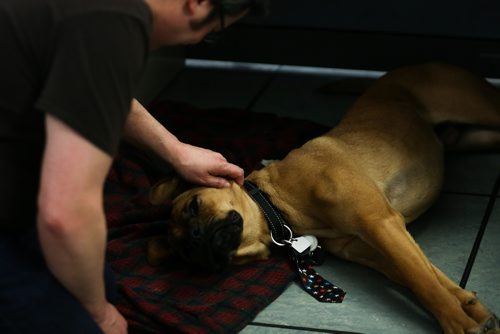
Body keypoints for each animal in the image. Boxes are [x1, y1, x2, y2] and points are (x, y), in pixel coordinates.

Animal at [148, 63, 500, 334]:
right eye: (184, 252)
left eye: (193, 205)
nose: (195, 239)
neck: (278, 205)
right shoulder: (378, 242)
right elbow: (425, 275)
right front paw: (471, 307)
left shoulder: (380, 223)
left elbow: (424, 282)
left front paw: (458, 323)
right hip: (473, 137)